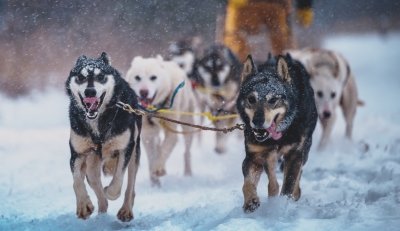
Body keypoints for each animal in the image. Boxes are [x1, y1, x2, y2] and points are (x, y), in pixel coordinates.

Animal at [125, 54, 197, 186]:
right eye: (137, 77)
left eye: (153, 77)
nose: (144, 92)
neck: (154, 109)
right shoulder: (148, 133)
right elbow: (152, 156)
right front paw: (154, 180)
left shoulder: (171, 132)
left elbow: (164, 150)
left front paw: (158, 168)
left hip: (187, 124)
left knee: (187, 152)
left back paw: (188, 173)